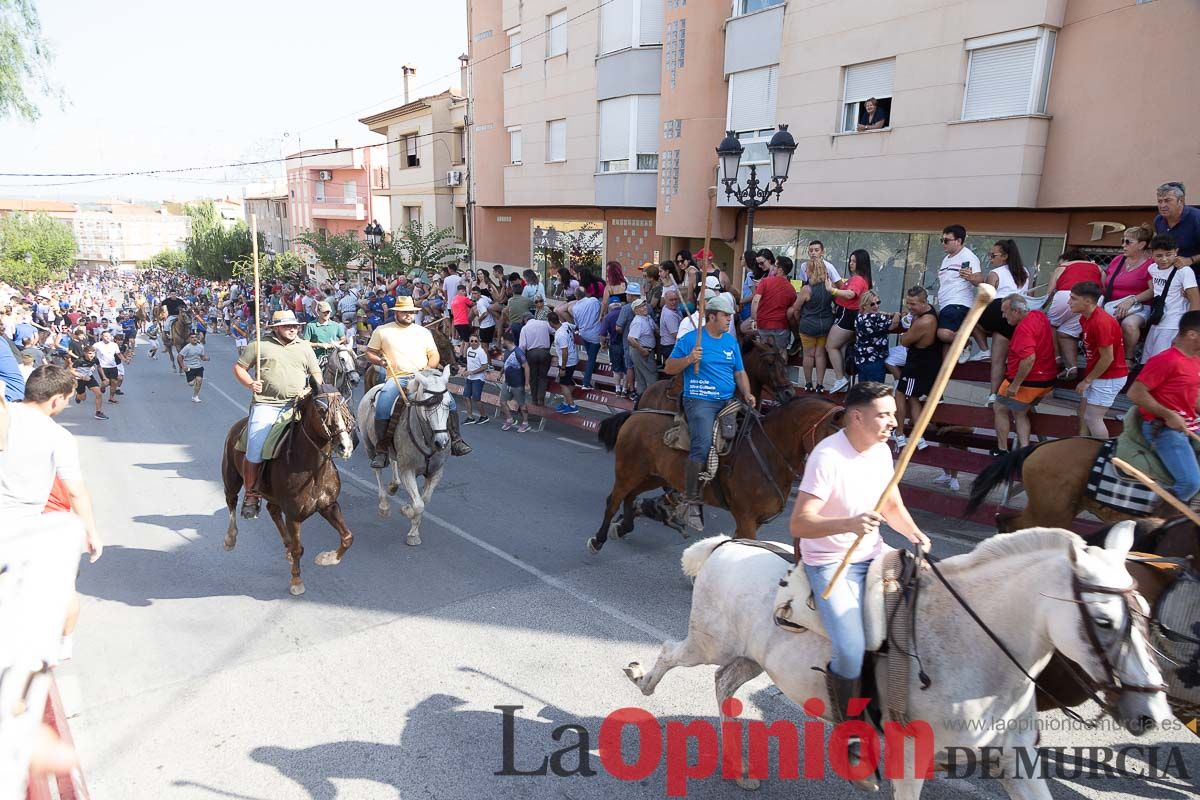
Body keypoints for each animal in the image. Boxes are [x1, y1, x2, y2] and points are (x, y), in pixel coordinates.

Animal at [220, 391, 357, 597]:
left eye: (345, 406)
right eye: (321, 409)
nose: (345, 446)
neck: (312, 469)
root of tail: (239, 425)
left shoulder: (328, 506)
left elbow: (347, 537)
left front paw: (328, 557)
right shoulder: (294, 516)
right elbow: (298, 549)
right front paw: (296, 581)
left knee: (273, 510)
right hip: (231, 478)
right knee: (231, 501)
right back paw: (230, 538)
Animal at [357, 367, 451, 544]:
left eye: (449, 404)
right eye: (428, 404)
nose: (442, 442)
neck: (426, 438)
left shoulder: (436, 472)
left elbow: (424, 500)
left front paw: (413, 529)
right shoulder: (408, 471)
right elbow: (419, 505)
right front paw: (407, 513)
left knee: (392, 461)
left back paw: (394, 485)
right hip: (368, 445)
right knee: (377, 471)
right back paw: (384, 505)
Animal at [590, 393, 844, 551]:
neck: (769, 450)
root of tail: (635, 415)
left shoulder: (752, 521)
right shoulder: (747, 519)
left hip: (651, 475)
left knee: (631, 496)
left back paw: (624, 527)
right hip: (628, 471)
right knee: (614, 499)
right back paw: (598, 539)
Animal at [628, 525, 1171, 800]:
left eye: (1147, 611)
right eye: (1103, 621)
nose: (1152, 715)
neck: (976, 642)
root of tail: (728, 543)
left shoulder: (1017, 760)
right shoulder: (911, 757)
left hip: (752, 657)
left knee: (725, 683)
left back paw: (739, 767)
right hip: (711, 642)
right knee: (675, 654)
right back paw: (642, 679)